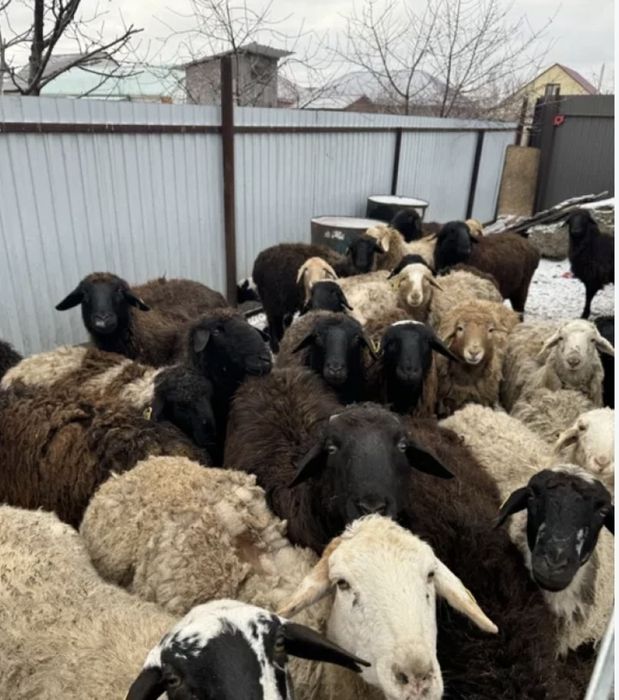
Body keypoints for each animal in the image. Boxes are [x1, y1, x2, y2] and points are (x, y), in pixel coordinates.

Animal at [253, 238, 381, 351]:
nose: (361, 264)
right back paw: (275, 346)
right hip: (270, 300)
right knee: (272, 321)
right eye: (353, 248)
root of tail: (259, 260)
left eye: (371, 249)